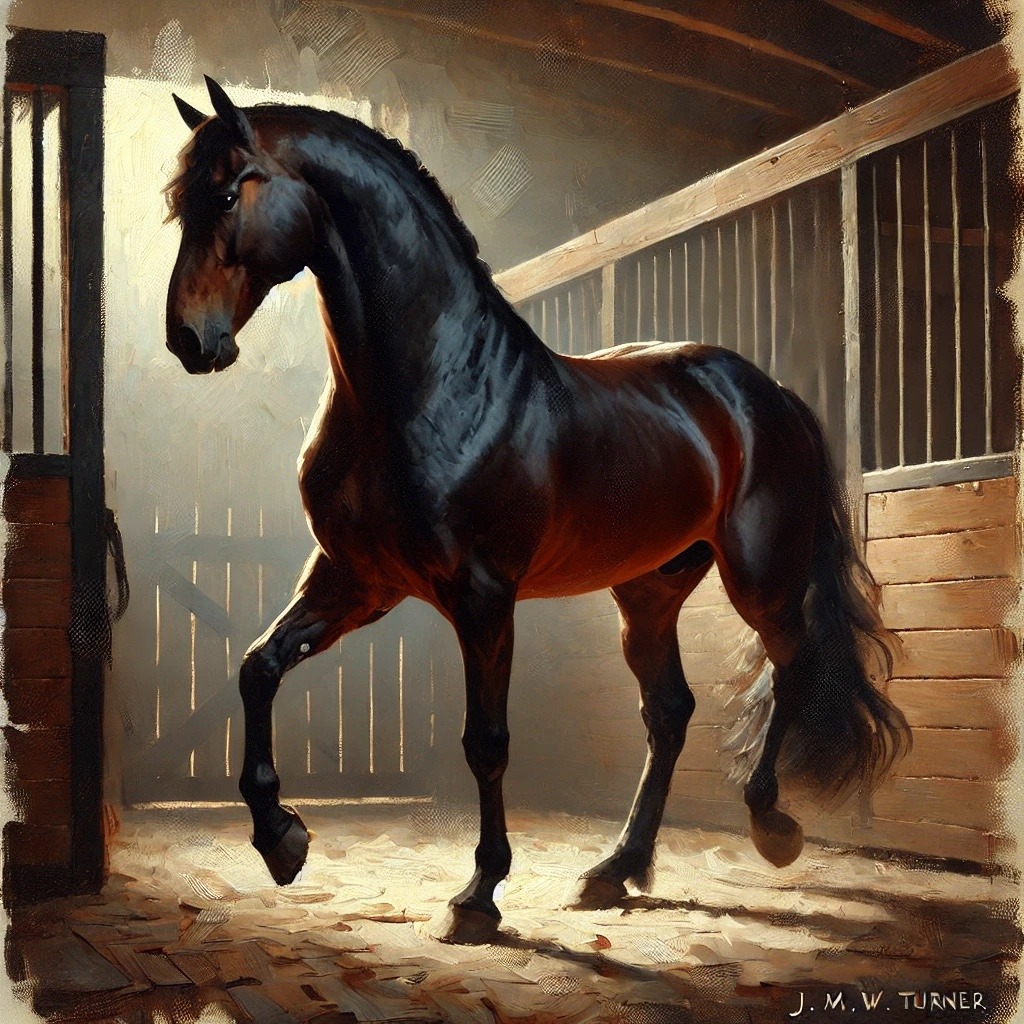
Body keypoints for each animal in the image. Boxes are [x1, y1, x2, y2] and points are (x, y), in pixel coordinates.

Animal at [164, 77, 910, 944]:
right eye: (179, 203)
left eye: (226, 194)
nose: (189, 340)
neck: (430, 385)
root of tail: (770, 393)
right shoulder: (358, 580)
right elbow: (258, 667)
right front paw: (282, 839)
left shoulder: (484, 596)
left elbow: (486, 742)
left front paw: (478, 895)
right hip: (649, 592)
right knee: (670, 712)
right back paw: (615, 869)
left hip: (760, 577)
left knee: (790, 669)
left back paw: (770, 827)